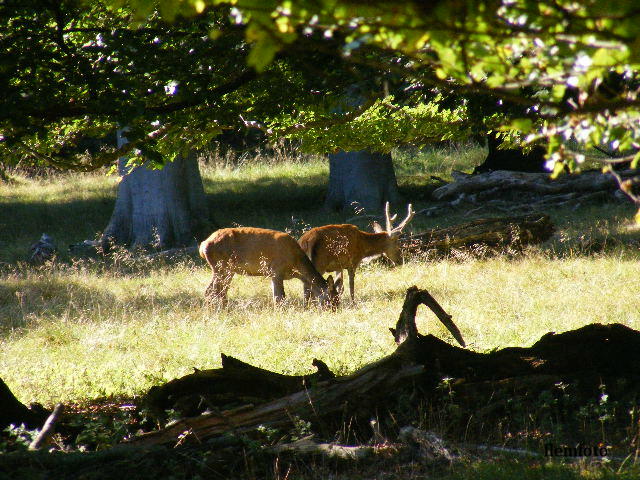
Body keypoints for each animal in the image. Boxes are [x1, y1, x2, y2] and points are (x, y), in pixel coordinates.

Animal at [200, 228, 340, 310]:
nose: (335, 310)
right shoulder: (276, 270)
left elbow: (276, 296)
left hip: (228, 270)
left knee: (221, 291)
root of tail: (203, 245)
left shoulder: (272, 274)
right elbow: (280, 297)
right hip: (220, 266)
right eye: (332, 300)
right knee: (211, 291)